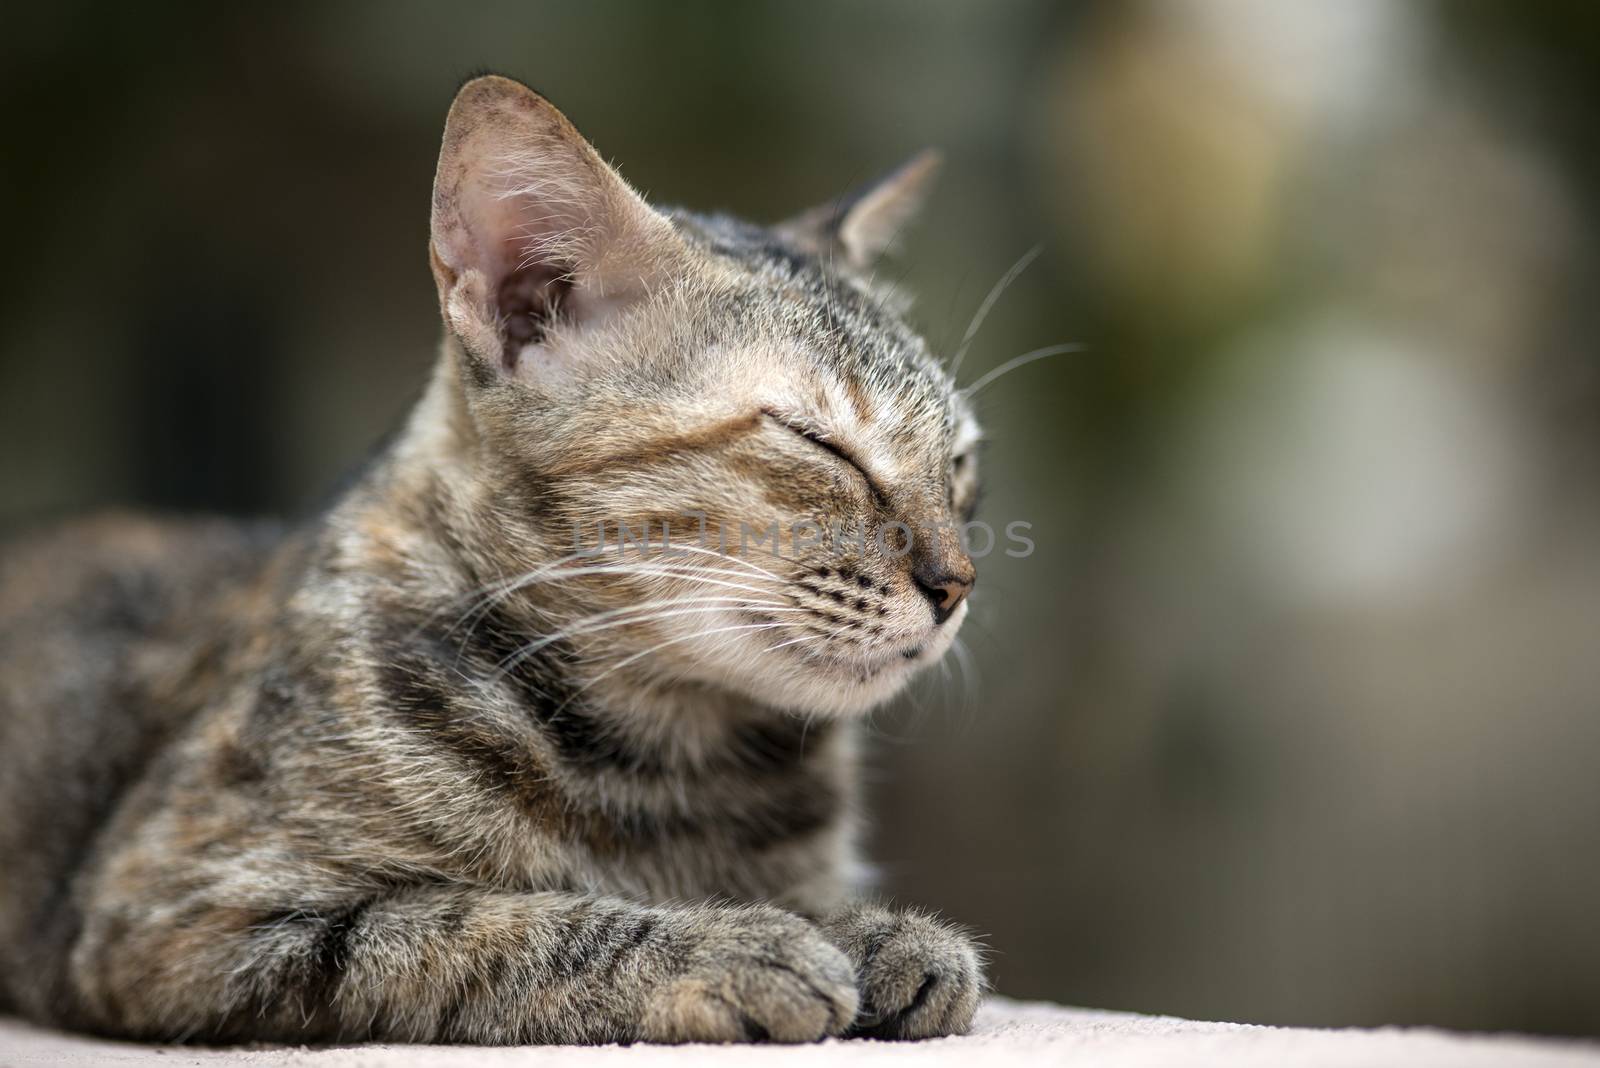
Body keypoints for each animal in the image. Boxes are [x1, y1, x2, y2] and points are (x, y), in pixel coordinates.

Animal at [0, 75, 985, 1042]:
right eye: (819, 444)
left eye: (961, 461)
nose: (956, 585)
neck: (672, 764)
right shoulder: (178, 916)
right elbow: (494, 923)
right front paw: (730, 943)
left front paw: (868, 931)